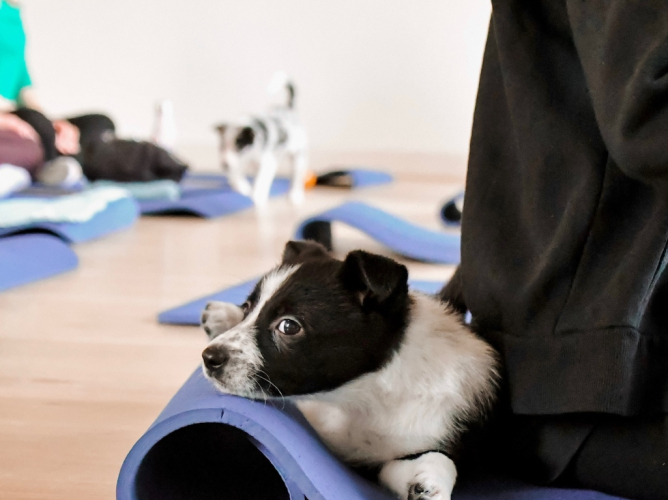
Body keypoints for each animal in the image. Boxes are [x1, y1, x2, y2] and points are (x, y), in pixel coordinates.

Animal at [198, 240, 496, 498]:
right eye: (248, 307)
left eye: (289, 326)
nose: (210, 357)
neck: (357, 395)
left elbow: (417, 461)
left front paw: (429, 481)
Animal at [214, 72, 308, 205]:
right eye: (221, 147)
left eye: (239, 146)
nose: (224, 165)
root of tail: (289, 109)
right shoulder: (240, 162)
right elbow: (236, 175)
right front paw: (243, 187)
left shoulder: (268, 163)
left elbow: (261, 180)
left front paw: (258, 196)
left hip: (298, 156)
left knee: (297, 177)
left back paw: (295, 195)